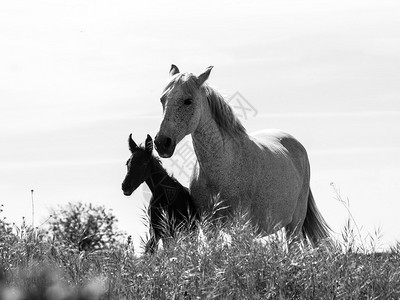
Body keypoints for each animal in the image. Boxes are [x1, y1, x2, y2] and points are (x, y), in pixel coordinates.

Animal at [155, 65, 330, 246]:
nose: (162, 143)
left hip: (294, 225)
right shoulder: (209, 226)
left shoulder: (240, 225)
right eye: (162, 99)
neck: (223, 166)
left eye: (188, 101)